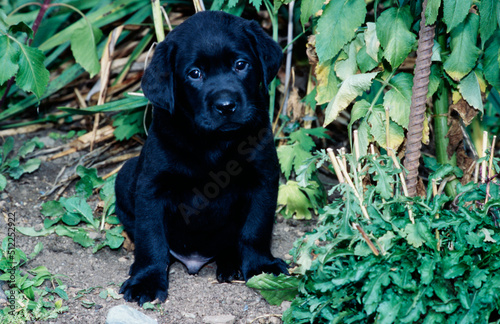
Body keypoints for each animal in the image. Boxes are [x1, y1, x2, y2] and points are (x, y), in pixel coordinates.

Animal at [116, 9, 288, 304]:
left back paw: (231, 263)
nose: (226, 106)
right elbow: (151, 238)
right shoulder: (152, 187)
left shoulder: (263, 178)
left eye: (241, 64)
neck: (214, 144)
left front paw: (261, 266)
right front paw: (147, 280)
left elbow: (255, 228)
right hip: (125, 175)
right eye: (194, 73)